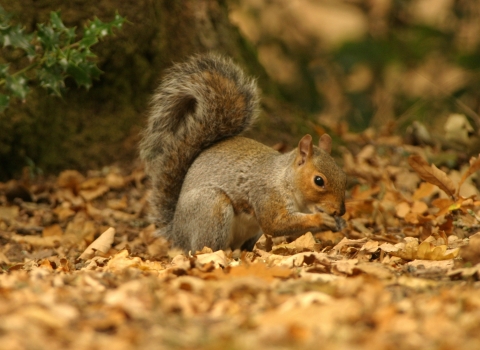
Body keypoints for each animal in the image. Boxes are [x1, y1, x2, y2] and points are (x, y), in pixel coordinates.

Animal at [139, 53, 344, 252]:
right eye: (319, 181)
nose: (341, 211)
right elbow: (274, 224)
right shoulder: (267, 196)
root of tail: (177, 234)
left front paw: (339, 223)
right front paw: (320, 219)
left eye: (343, 174)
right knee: (205, 248)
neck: (284, 179)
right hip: (212, 208)